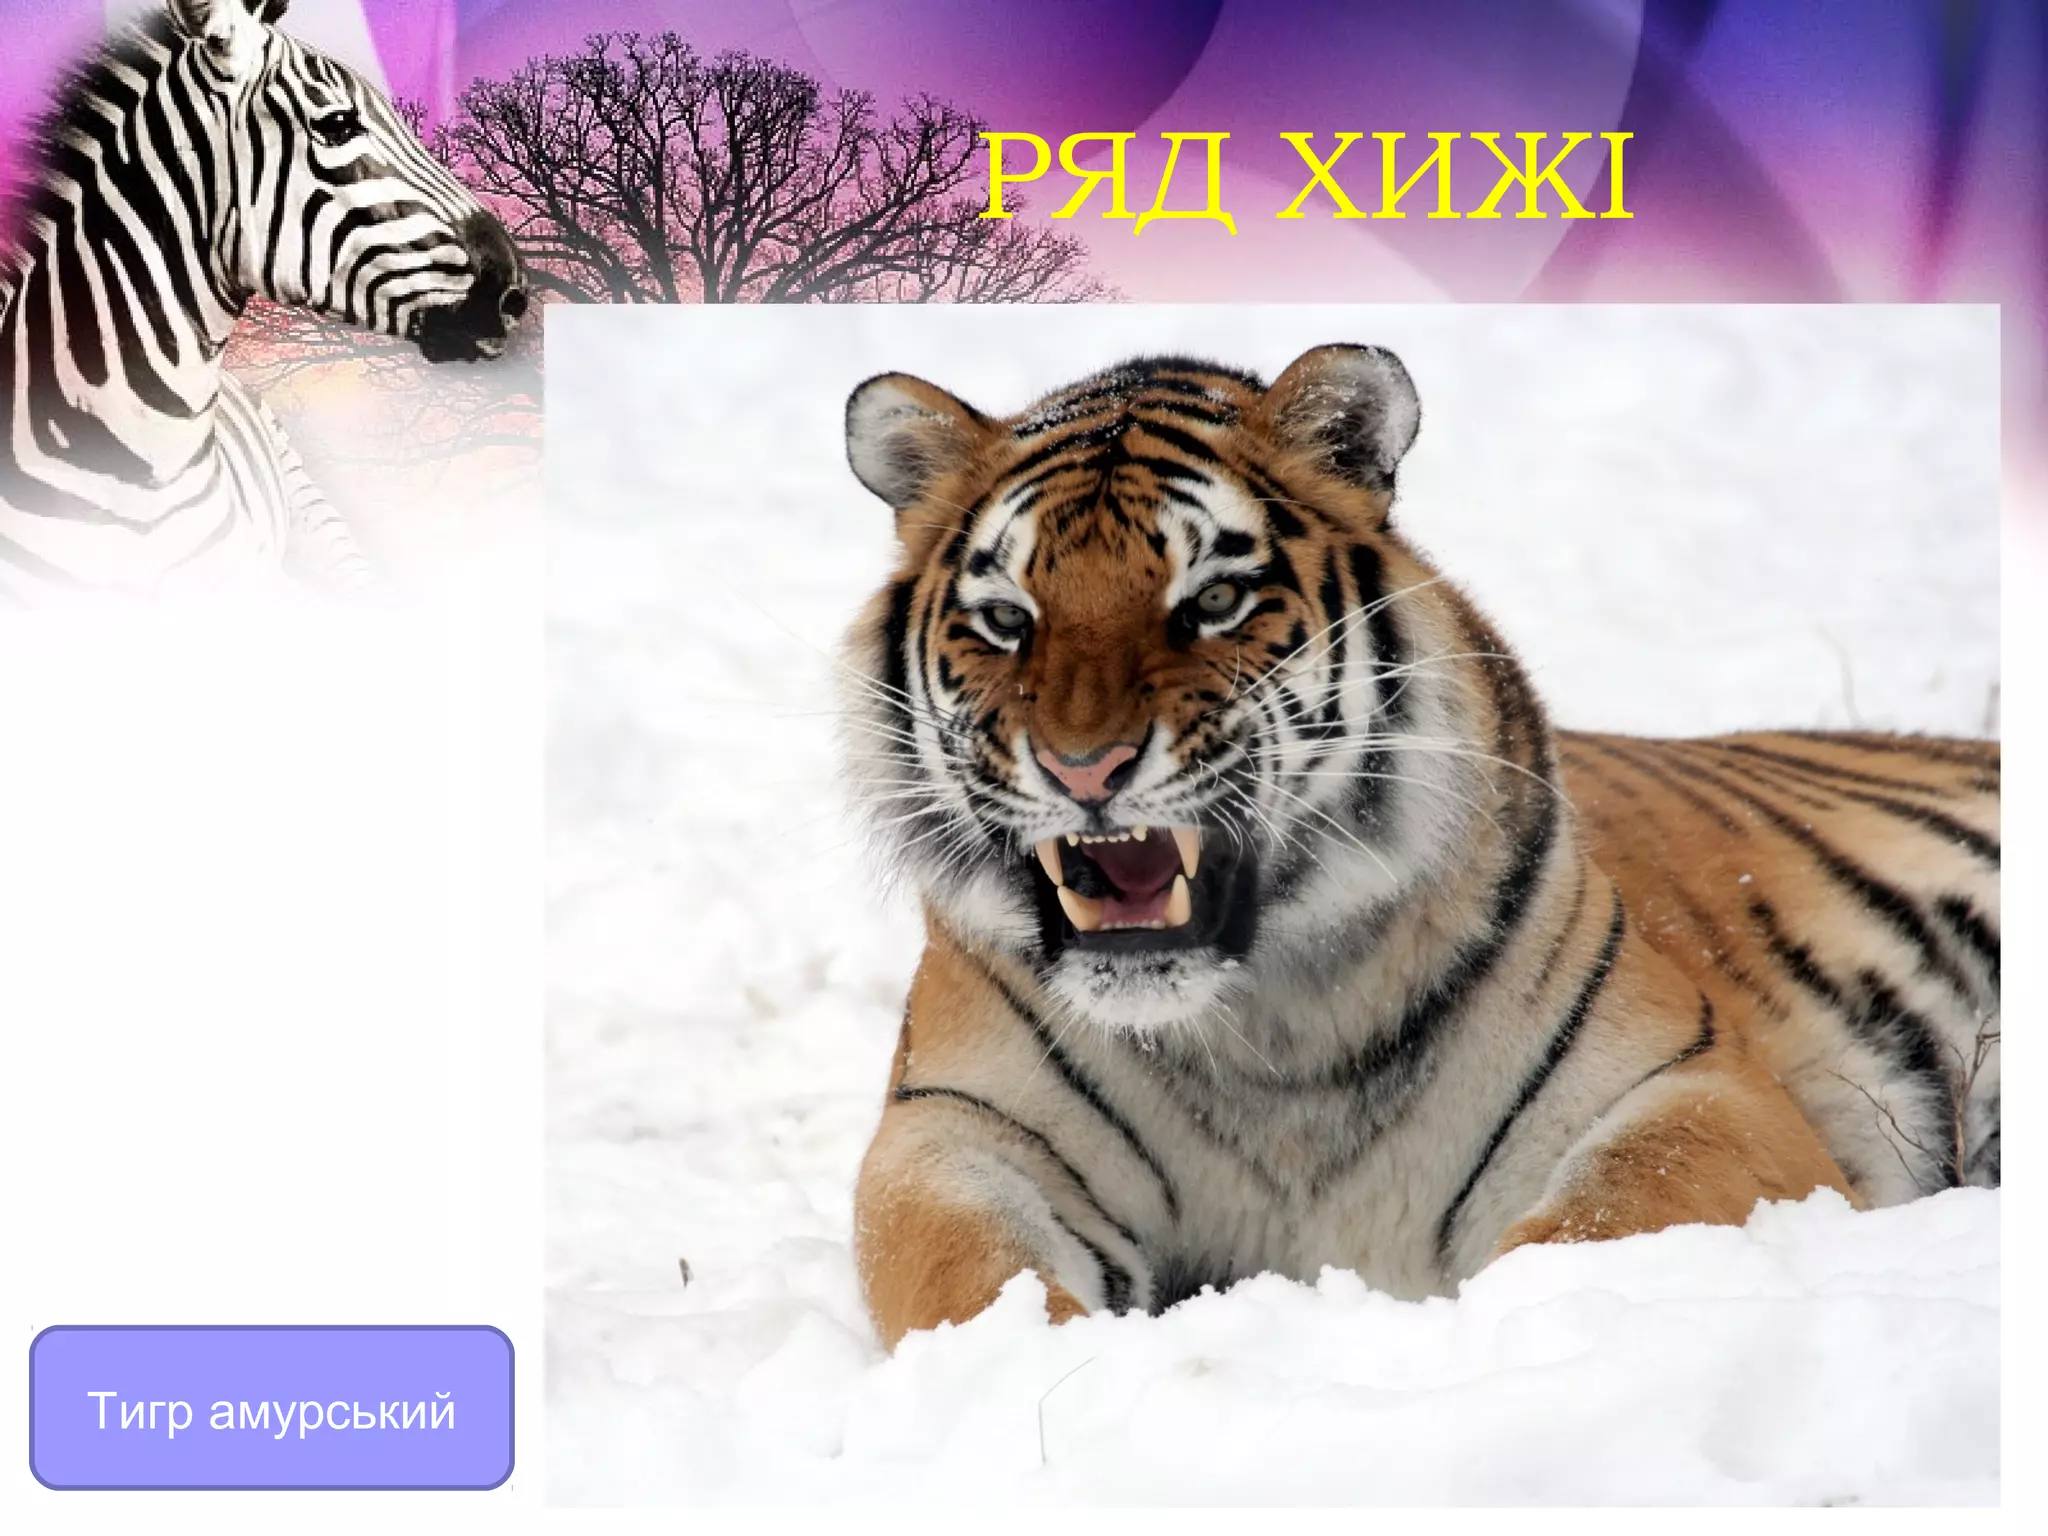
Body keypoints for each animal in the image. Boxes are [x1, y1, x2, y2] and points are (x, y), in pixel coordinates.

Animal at [836, 344, 2000, 1349]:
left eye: (1214, 600)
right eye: (1006, 619)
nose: (1083, 769)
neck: (1263, 1030)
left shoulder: (1690, 1085)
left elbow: (1603, 1219)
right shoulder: (955, 1130)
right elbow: (967, 1278)